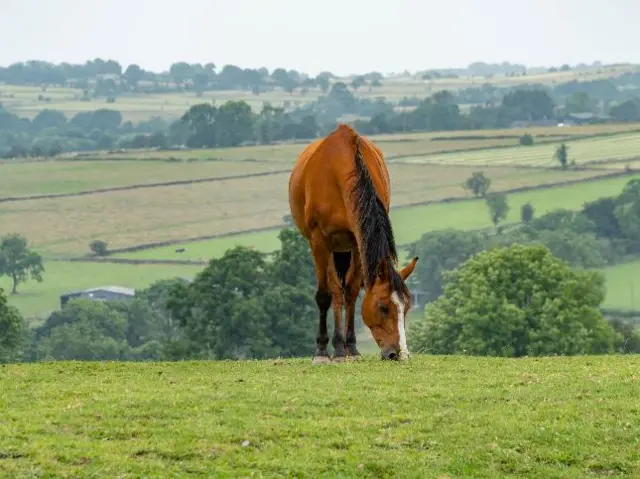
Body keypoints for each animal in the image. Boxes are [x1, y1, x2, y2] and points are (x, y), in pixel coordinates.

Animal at [290, 124, 420, 364]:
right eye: (383, 307)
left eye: (406, 307)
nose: (399, 354)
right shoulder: (319, 240)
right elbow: (324, 296)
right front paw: (322, 352)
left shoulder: (357, 241)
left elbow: (350, 292)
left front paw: (351, 347)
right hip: (331, 249)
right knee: (333, 291)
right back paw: (334, 348)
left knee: (341, 292)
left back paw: (342, 348)